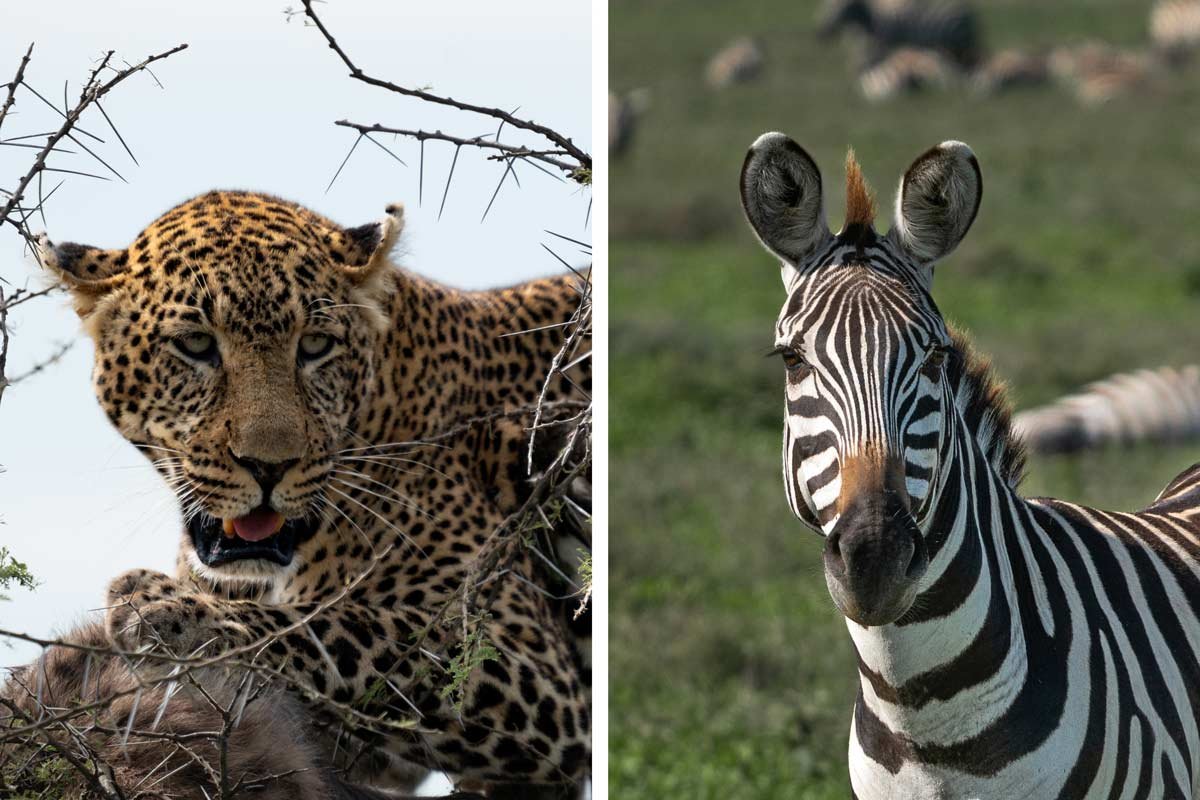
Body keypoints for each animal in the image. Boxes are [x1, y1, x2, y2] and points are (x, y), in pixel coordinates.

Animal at [31, 190, 591, 794]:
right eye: (197, 345)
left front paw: (178, 615)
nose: (268, 466)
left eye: (316, 345)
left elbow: (349, 631)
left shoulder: (528, 665)